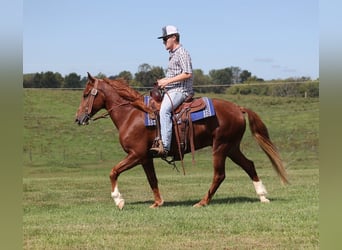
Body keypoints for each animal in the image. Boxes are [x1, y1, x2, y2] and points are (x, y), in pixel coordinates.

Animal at [75, 72, 288, 209]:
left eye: (86, 95)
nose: (78, 119)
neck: (131, 114)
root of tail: (237, 108)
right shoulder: (145, 158)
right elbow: (152, 179)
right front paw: (157, 203)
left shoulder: (136, 154)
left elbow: (113, 172)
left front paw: (118, 200)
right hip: (232, 147)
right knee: (249, 165)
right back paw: (262, 196)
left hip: (220, 147)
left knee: (219, 175)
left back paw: (202, 202)